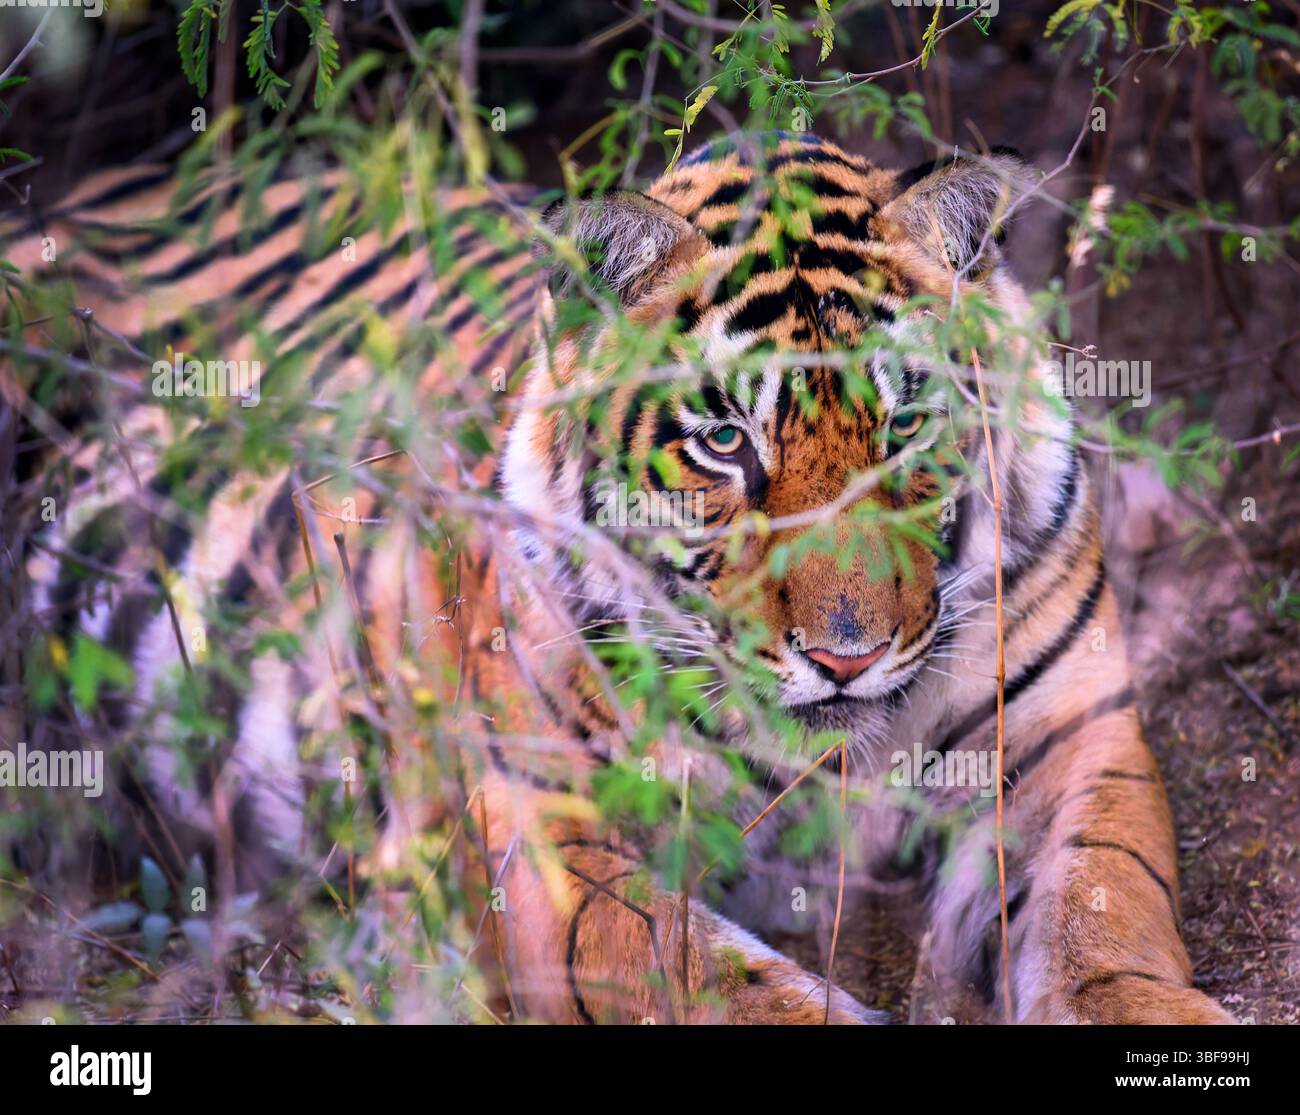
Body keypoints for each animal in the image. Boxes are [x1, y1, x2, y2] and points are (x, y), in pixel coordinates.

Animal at [0, 131, 1233, 1024]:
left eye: (905, 424)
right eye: (726, 441)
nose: (846, 657)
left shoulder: (1075, 733)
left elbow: (1108, 903)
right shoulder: (540, 829)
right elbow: (715, 979)